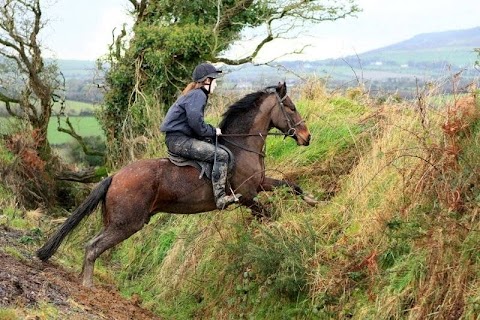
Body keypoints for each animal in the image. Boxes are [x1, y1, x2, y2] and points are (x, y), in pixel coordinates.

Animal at [37, 81, 316, 286]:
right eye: (291, 108)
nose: (307, 137)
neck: (241, 145)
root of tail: (114, 176)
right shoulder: (247, 195)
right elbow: (268, 214)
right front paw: (276, 235)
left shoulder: (260, 184)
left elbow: (291, 186)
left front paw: (312, 200)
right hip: (127, 223)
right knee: (92, 247)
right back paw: (87, 285)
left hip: (117, 222)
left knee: (92, 245)